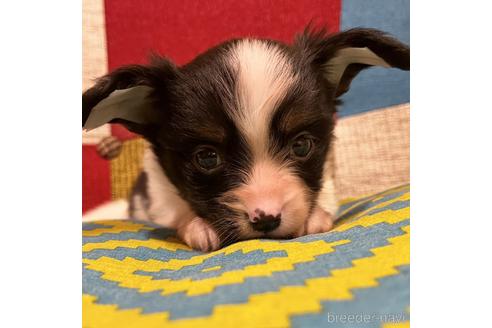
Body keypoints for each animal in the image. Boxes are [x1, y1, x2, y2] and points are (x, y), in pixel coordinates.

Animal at [82, 27, 410, 251]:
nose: (266, 219)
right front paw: (197, 226)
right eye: (207, 157)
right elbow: (175, 208)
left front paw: (315, 215)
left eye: (302, 145)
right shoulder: (157, 192)